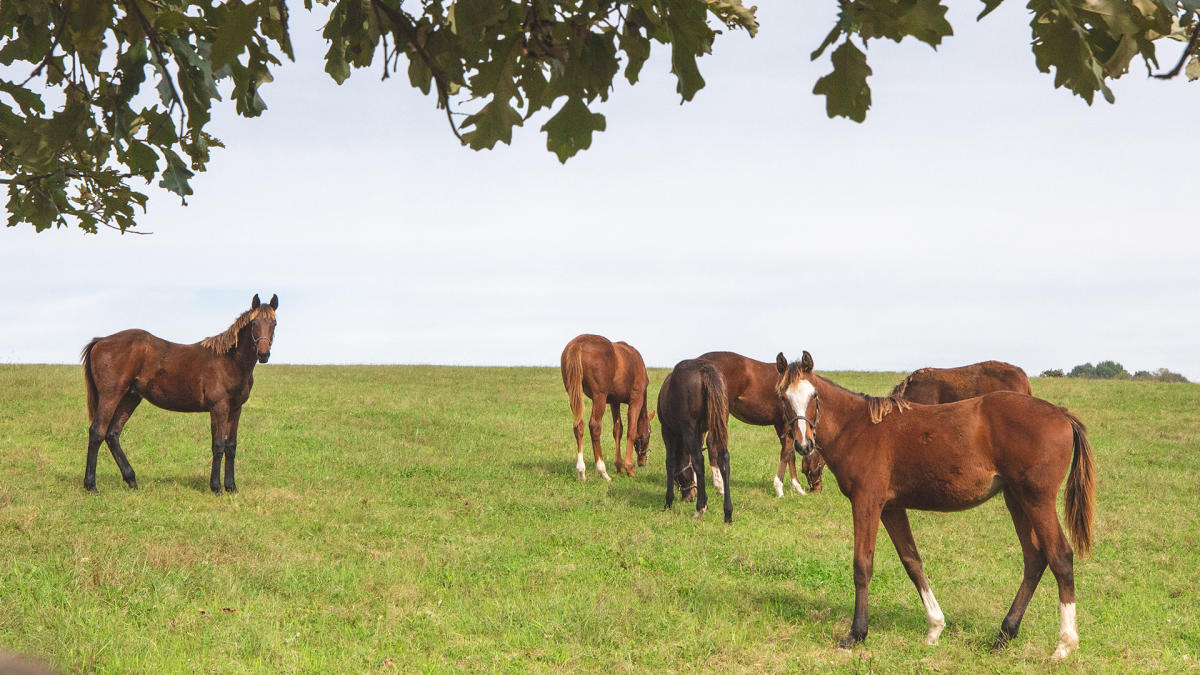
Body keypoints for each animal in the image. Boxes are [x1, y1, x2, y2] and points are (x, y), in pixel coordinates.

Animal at [80, 294, 279, 494]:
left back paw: (131, 480)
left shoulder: (236, 409)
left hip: (130, 397)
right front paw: (216, 488)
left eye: (274, 323)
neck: (230, 361)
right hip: (111, 396)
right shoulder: (219, 408)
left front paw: (231, 487)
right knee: (97, 432)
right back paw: (91, 485)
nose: (264, 354)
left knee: (112, 434)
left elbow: (231, 446)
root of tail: (101, 341)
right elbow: (218, 445)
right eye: (254, 323)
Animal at [560, 334, 654, 481]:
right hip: (600, 397)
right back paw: (602, 471)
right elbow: (631, 431)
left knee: (578, 426)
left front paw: (619, 467)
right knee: (595, 427)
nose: (642, 461)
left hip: (573, 394)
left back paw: (581, 471)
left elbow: (618, 430)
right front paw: (629, 468)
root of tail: (578, 344)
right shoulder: (636, 399)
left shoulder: (615, 402)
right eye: (649, 434)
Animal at [657, 359, 733, 522]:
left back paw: (699, 509)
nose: (690, 497)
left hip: (688, 429)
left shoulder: (667, 430)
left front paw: (668, 501)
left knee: (699, 459)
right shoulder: (701, 432)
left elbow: (670, 462)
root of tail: (705, 369)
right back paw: (728, 512)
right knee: (724, 458)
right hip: (718, 426)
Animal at [697, 351, 823, 496]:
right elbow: (787, 451)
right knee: (711, 442)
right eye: (819, 465)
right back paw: (720, 486)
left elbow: (790, 454)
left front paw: (796, 487)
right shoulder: (787, 424)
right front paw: (780, 489)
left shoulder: (781, 425)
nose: (817, 489)